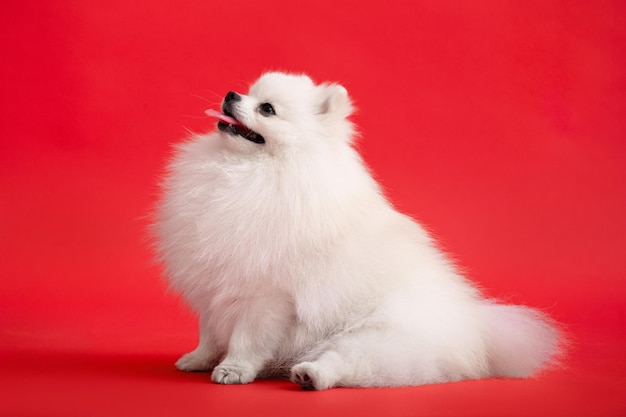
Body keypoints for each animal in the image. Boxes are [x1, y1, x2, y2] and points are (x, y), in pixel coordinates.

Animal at [152, 72, 560, 390]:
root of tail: (474, 326)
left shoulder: (267, 294)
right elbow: (209, 331)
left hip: (374, 337)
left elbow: (248, 338)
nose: (231, 94)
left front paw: (234, 369)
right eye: (247, 91)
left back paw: (311, 375)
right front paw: (199, 358)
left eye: (267, 108)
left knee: (349, 362)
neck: (247, 171)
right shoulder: (214, 284)